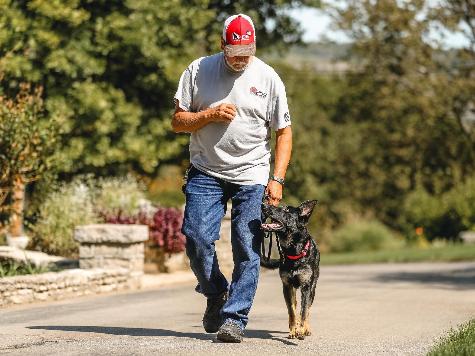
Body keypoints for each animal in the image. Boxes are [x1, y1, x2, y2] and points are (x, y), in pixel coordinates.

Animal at [258, 200, 322, 340]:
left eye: (287, 210)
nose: (263, 205)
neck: (294, 252)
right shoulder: (287, 286)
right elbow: (292, 311)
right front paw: (293, 330)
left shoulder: (306, 287)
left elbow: (304, 311)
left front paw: (302, 330)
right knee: (295, 304)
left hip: (313, 288)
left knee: (307, 308)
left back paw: (306, 328)